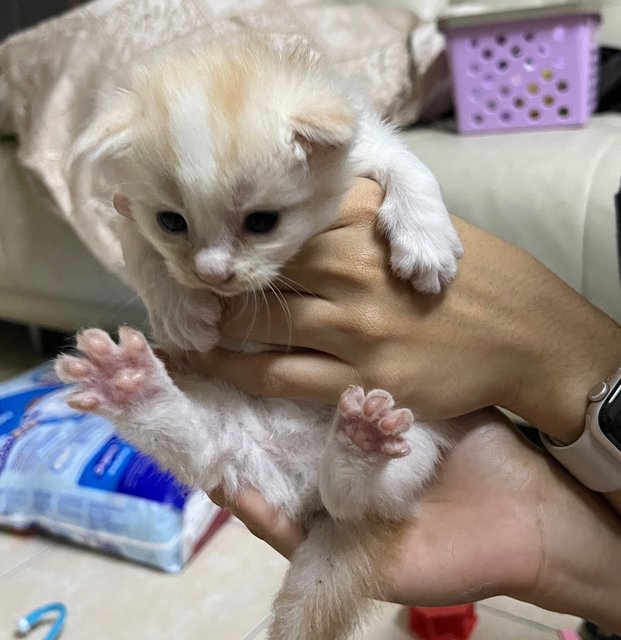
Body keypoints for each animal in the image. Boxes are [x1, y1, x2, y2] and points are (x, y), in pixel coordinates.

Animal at [57, 38, 464, 640]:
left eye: (262, 222)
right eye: (172, 222)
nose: (211, 274)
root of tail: (295, 479)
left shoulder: (373, 142)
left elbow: (410, 168)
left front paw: (425, 240)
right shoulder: (124, 205)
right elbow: (138, 247)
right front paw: (177, 306)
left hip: (421, 427)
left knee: (362, 502)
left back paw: (360, 444)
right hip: (225, 442)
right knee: (198, 445)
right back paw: (130, 385)